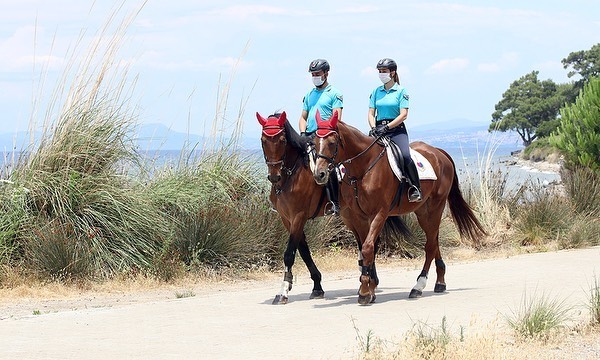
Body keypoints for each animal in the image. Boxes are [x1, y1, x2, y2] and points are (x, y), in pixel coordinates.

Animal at [254, 111, 330, 306]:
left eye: (282, 140)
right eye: (263, 140)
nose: (274, 176)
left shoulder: (299, 216)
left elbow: (289, 253)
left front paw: (283, 291)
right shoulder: (287, 218)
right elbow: (303, 250)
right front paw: (317, 286)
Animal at [312, 112, 486, 304]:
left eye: (331, 142)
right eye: (314, 142)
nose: (319, 174)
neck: (364, 167)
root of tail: (439, 152)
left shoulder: (379, 214)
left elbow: (368, 248)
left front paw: (365, 291)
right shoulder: (359, 217)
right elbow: (366, 250)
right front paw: (370, 289)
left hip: (435, 207)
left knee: (430, 245)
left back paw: (418, 286)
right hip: (422, 211)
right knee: (434, 240)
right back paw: (440, 282)